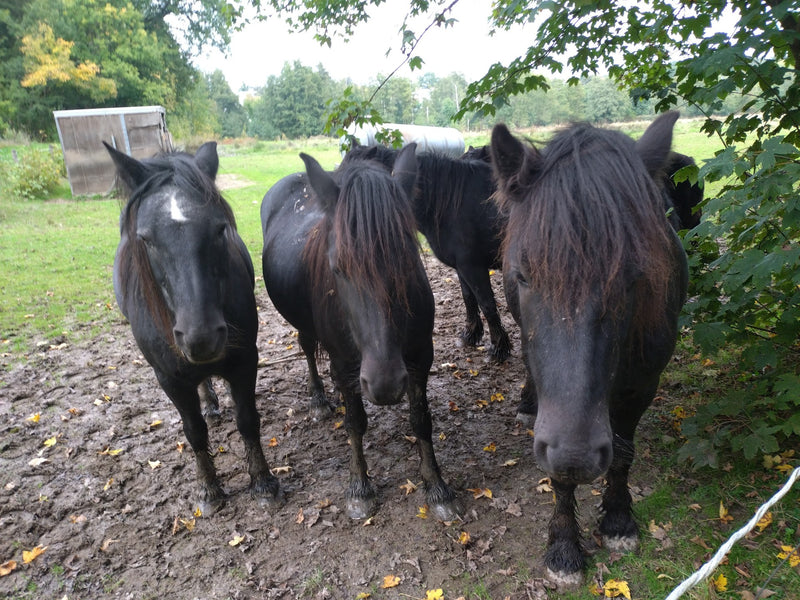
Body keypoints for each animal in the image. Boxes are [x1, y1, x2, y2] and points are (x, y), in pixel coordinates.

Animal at [106, 141, 281, 513]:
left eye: (219, 229)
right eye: (146, 239)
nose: (201, 337)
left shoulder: (246, 359)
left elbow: (248, 419)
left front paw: (263, 481)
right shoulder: (169, 378)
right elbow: (194, 431)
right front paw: (209, 488)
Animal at [260, 144, 460, 520]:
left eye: (409, 261)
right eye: (338, 267)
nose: (384, 384)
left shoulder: (420, 358)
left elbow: (421, 420)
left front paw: (437, 487)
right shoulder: (345, 362)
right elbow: (355, 421)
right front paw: (360, 488)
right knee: (308, 348)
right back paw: (320, 399)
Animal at [343, 144, 511, 362]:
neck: (451, 204)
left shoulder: (473, 267)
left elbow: (487, 304)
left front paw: (499, 348)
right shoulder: (462, 267)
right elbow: (469, 298)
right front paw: (470, 335)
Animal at [489, 112, 688, 586]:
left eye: (634, 277)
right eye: (523, 275)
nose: (576, 455)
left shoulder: (641, 386)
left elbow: (623, 453)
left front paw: (617, 520)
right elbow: (560, 479)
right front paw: (564, 547)